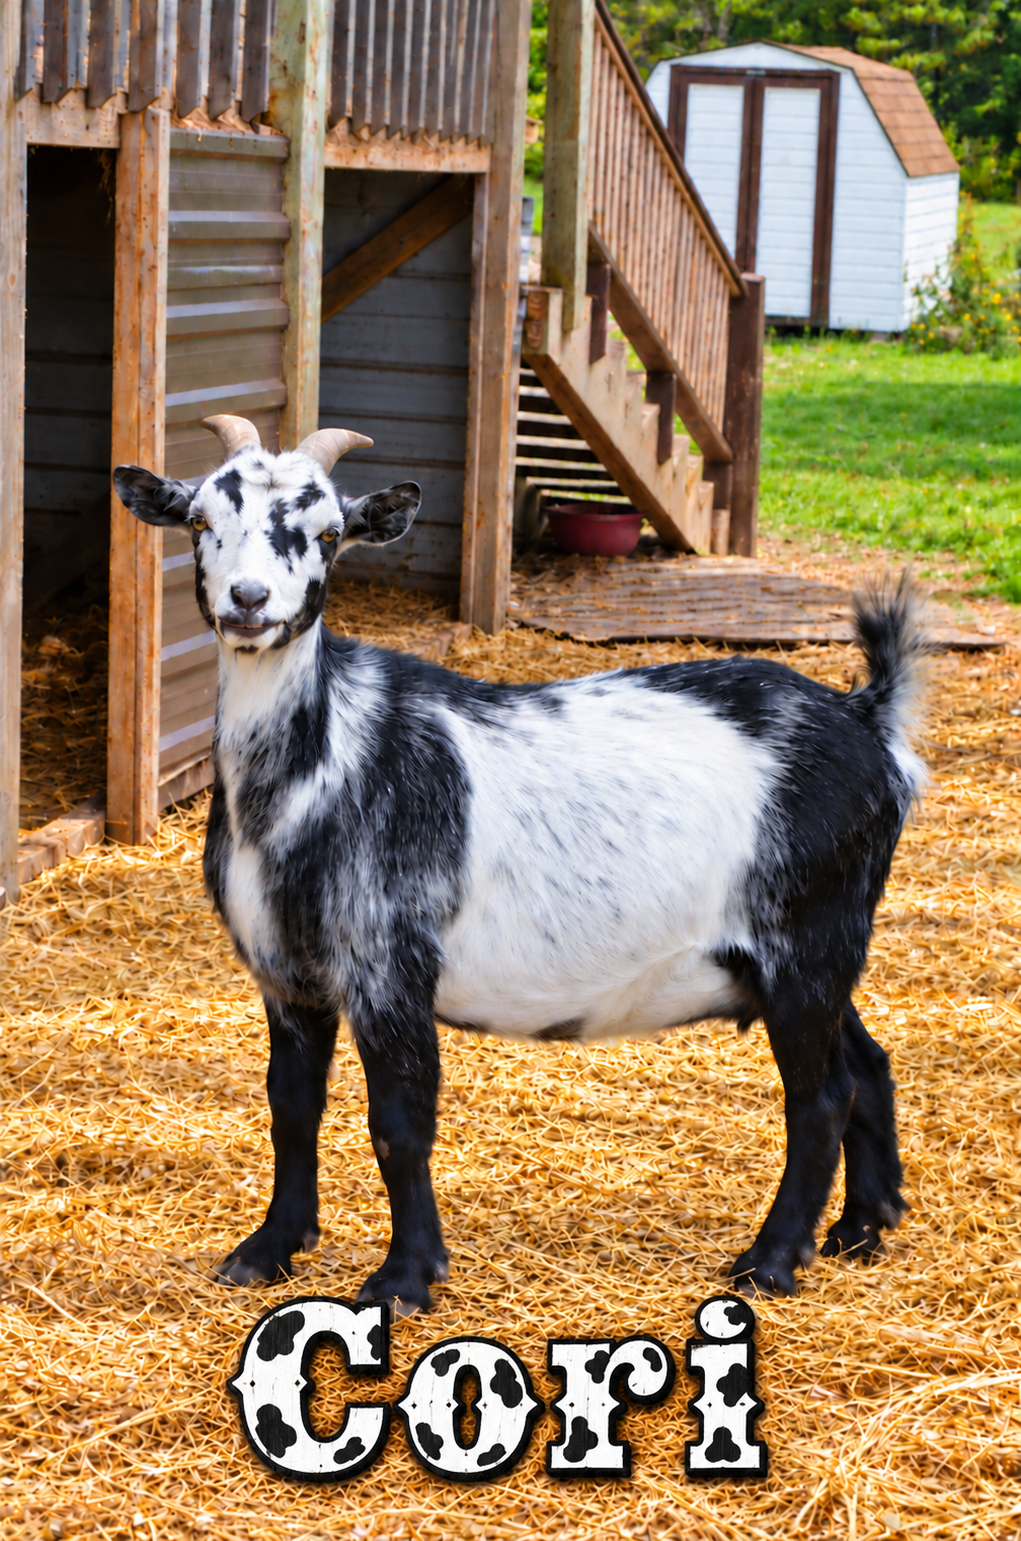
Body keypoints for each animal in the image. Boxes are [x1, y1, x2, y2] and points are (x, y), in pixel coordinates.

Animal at [114, 414, 925, 1313]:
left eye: (327, 533)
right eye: (198, 522)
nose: (249, 602)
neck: (324, 764)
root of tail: (865, 715)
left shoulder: (390, 965)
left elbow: (399, 1124)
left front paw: (404, 1277)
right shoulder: (286, 973)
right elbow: (291, 1108)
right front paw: (267, 1250)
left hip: (805, 939)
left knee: (820, 1096)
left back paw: (773, 1259)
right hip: (801, 953)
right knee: (866, 1065)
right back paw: (862, 1227)